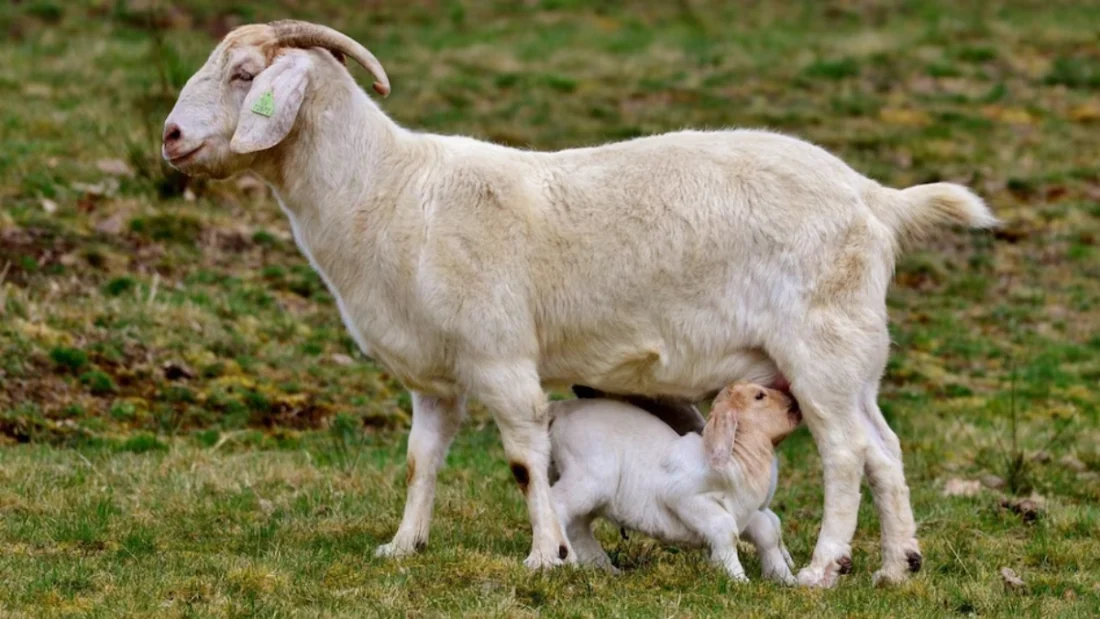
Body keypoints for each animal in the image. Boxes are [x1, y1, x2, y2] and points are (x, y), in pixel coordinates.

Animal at [162, 20, 997, 587]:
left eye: (244, 74)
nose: (170, 137)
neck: (390, 191)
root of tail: (875, 197)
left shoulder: (500, 355)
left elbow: (525, 458)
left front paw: (545, 555)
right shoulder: (434, 376)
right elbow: (419, 460)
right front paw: (403, 546)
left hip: (819, 350)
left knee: (846, 452)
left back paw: (825, 568)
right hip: (852, 354)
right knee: (885, 448)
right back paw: (897, 565)